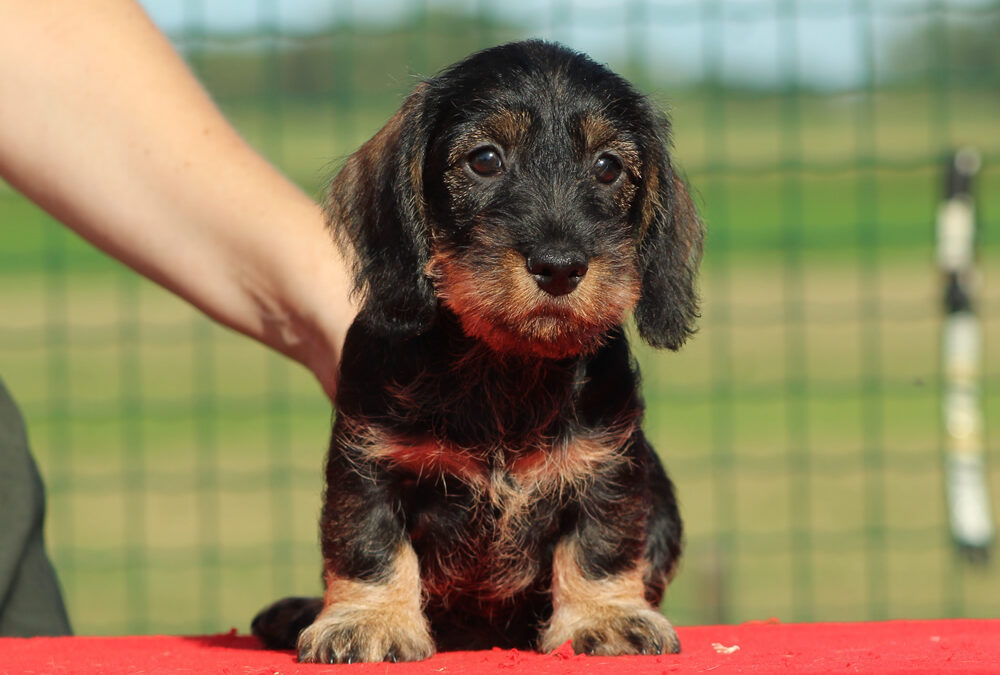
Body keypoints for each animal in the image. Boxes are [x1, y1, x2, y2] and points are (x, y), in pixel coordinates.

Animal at [250, 39, 704, 664]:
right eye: (485, 159)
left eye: (609, 166)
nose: (559, 266)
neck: (504, 366)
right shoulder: (367, 462)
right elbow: (368, 543)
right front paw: (367, 621)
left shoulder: (606, 465)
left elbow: (601, 545)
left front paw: (607, 617)